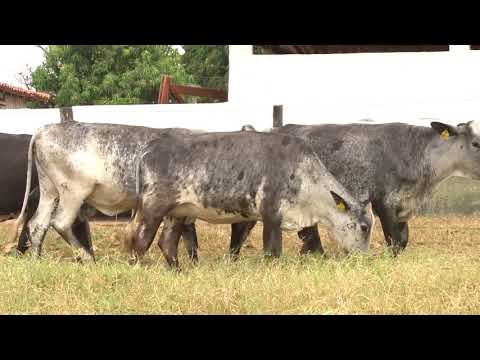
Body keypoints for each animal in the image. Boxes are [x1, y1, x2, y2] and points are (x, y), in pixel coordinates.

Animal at [126, 131, 372, 268]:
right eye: (363, 227)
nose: (363, 257)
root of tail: (150, 148)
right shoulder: (271, 215)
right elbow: (272, 251)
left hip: (178, 213)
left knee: (167, 243)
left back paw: (179, 271)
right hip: (152, 208)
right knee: (140, 240)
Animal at [225, 121, 480, 256]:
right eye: (476, 143)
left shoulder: (403, 208)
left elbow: (403, 239)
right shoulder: (384, 202)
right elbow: (395, 240)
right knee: (241, 228)